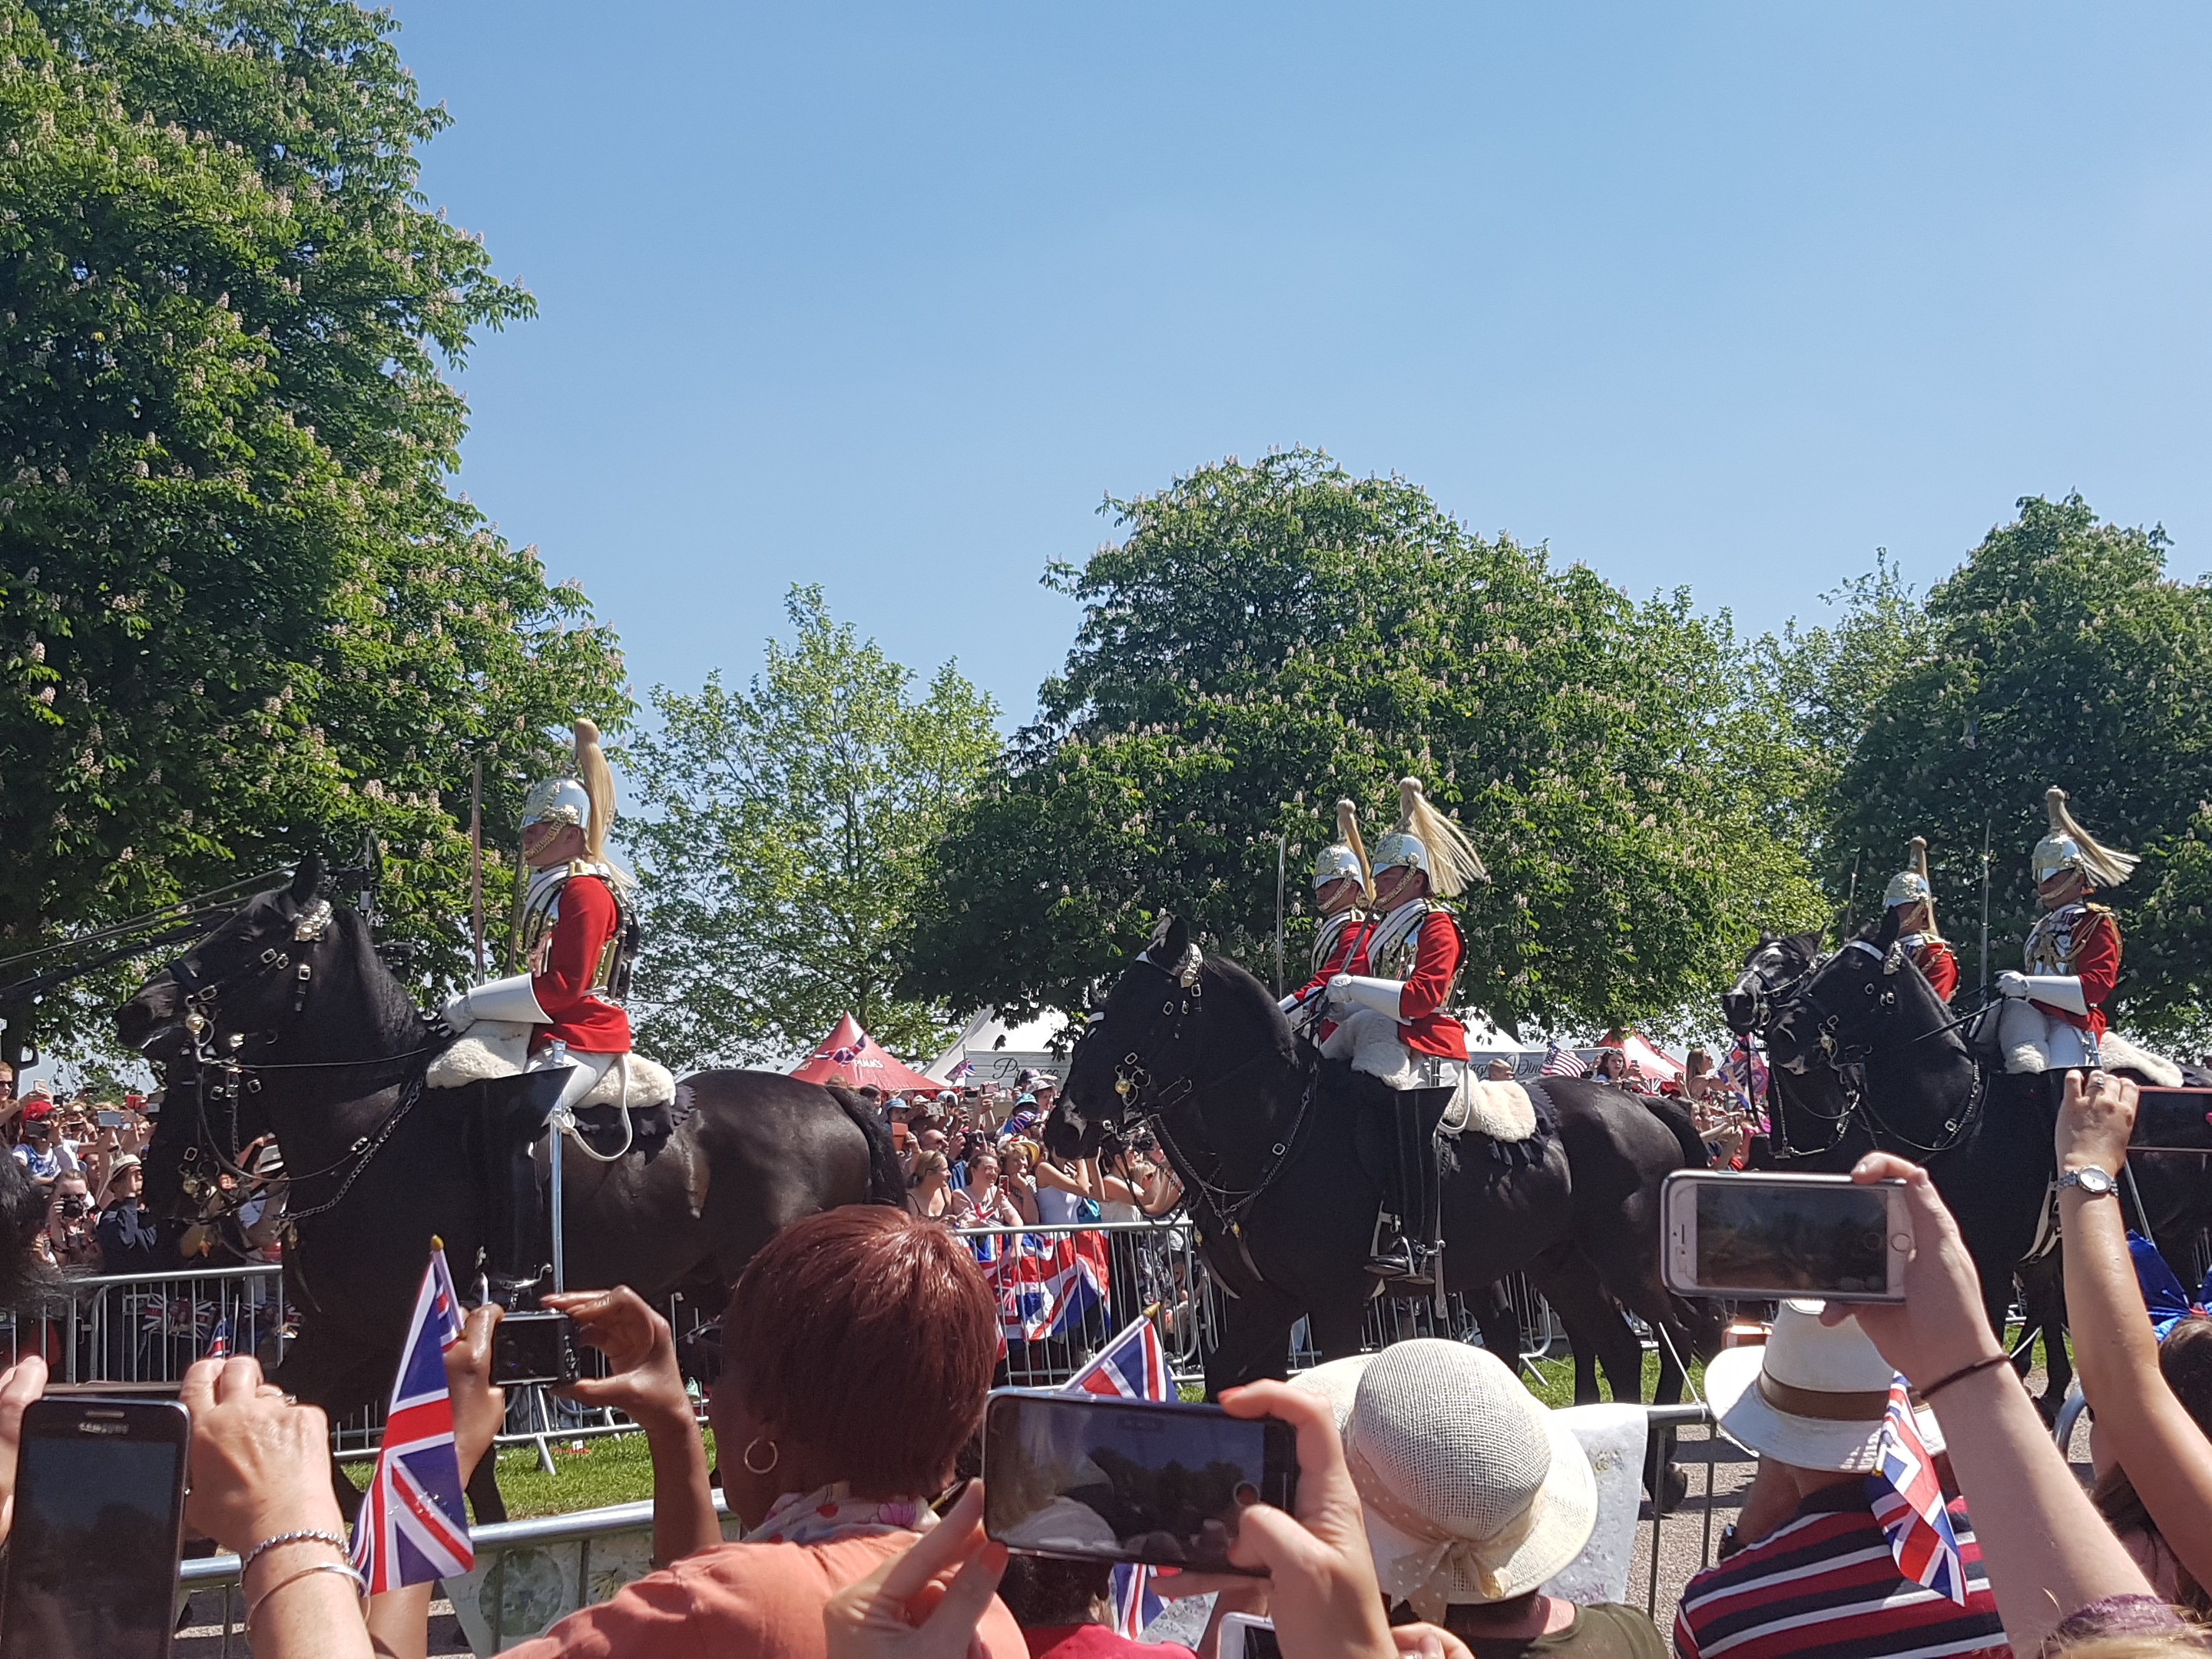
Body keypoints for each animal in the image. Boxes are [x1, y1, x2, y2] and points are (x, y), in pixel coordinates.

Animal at [114, 863, 898, 1530]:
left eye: (250, 934)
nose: (139, 1011)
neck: (368, 1121)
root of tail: (834, 1097)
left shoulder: (402, 1331)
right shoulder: (349, 1330)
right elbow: (304, 1414)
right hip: (712, 1290)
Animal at [1048, 916, 1707, 1433]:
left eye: (1151, 1005)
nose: (1067, 1124)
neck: (1277, 1131)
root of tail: (1641, 1104)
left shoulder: (1335, 1299)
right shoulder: (1268, 1299)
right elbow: (1227, 1379)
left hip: (1628, 1260)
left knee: (1676, 1334)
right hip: (1559, 1264)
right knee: (1621, 1349)